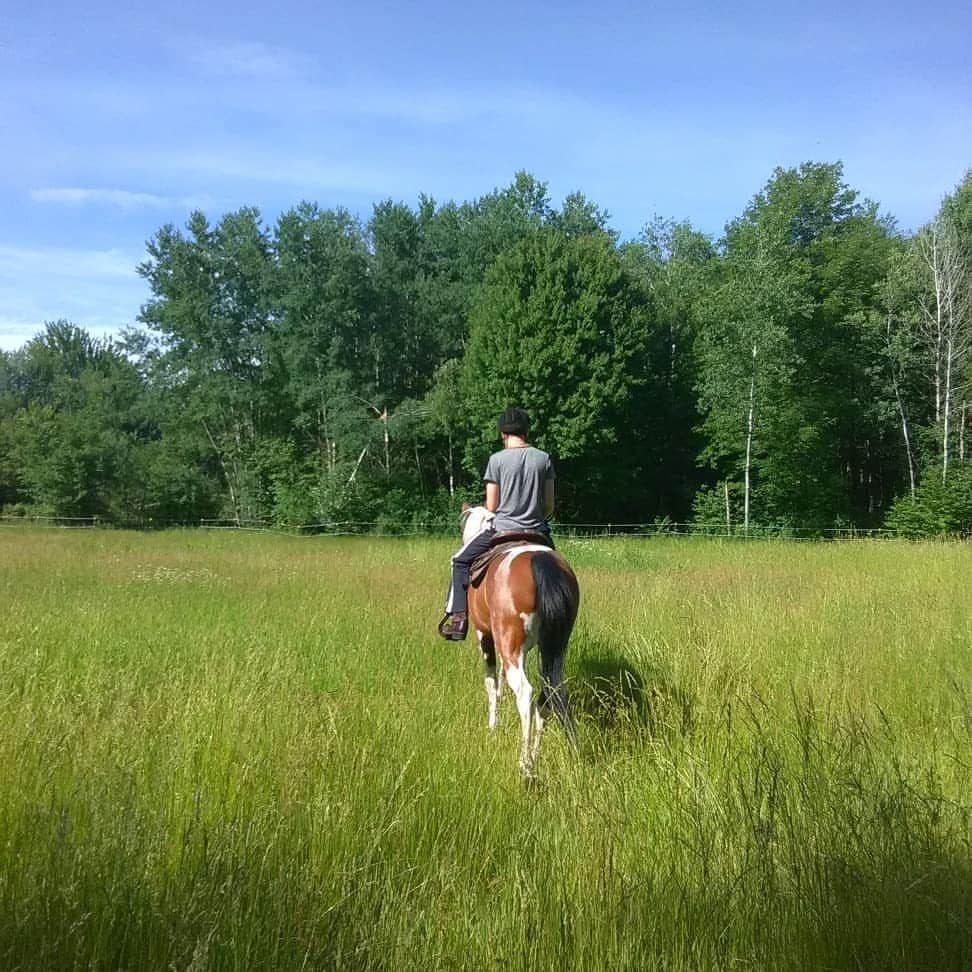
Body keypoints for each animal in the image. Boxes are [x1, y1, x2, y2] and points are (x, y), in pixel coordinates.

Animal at [456, 508, 576, 776]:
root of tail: (540, 559)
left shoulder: (485, 636)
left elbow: (490, 682)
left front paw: (492, 727)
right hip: (555, 648)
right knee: (549, 692)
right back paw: (536, 754)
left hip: (508, 645)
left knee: (525, 693)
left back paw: (525, 763)